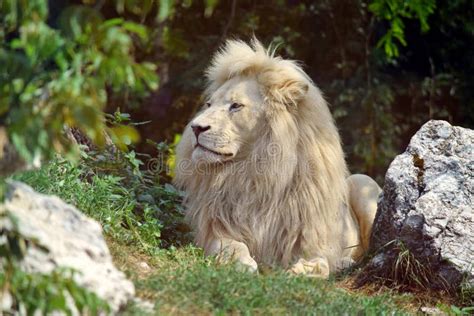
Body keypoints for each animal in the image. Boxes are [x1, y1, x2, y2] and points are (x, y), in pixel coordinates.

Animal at [174, 39, 382, 276]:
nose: (196, 128)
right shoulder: (215, 229)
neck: (255, 172)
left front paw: (302, 270)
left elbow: (321, 263)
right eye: (208, 105)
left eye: (236, 105)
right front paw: (242, 263)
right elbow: (231, 246)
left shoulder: (312, 237)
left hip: (363, 183)